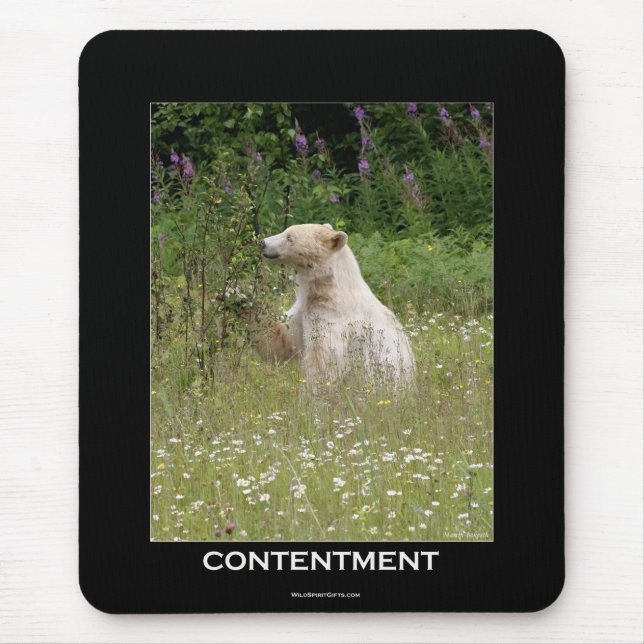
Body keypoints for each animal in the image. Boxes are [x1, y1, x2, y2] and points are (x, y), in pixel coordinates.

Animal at [258, 223, 415, 385]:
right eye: (285, 230)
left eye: (289, 237)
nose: (262, 243)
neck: (329, 290)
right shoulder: (302, 310)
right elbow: (281, 339)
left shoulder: (332, 317)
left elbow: (324, 357)